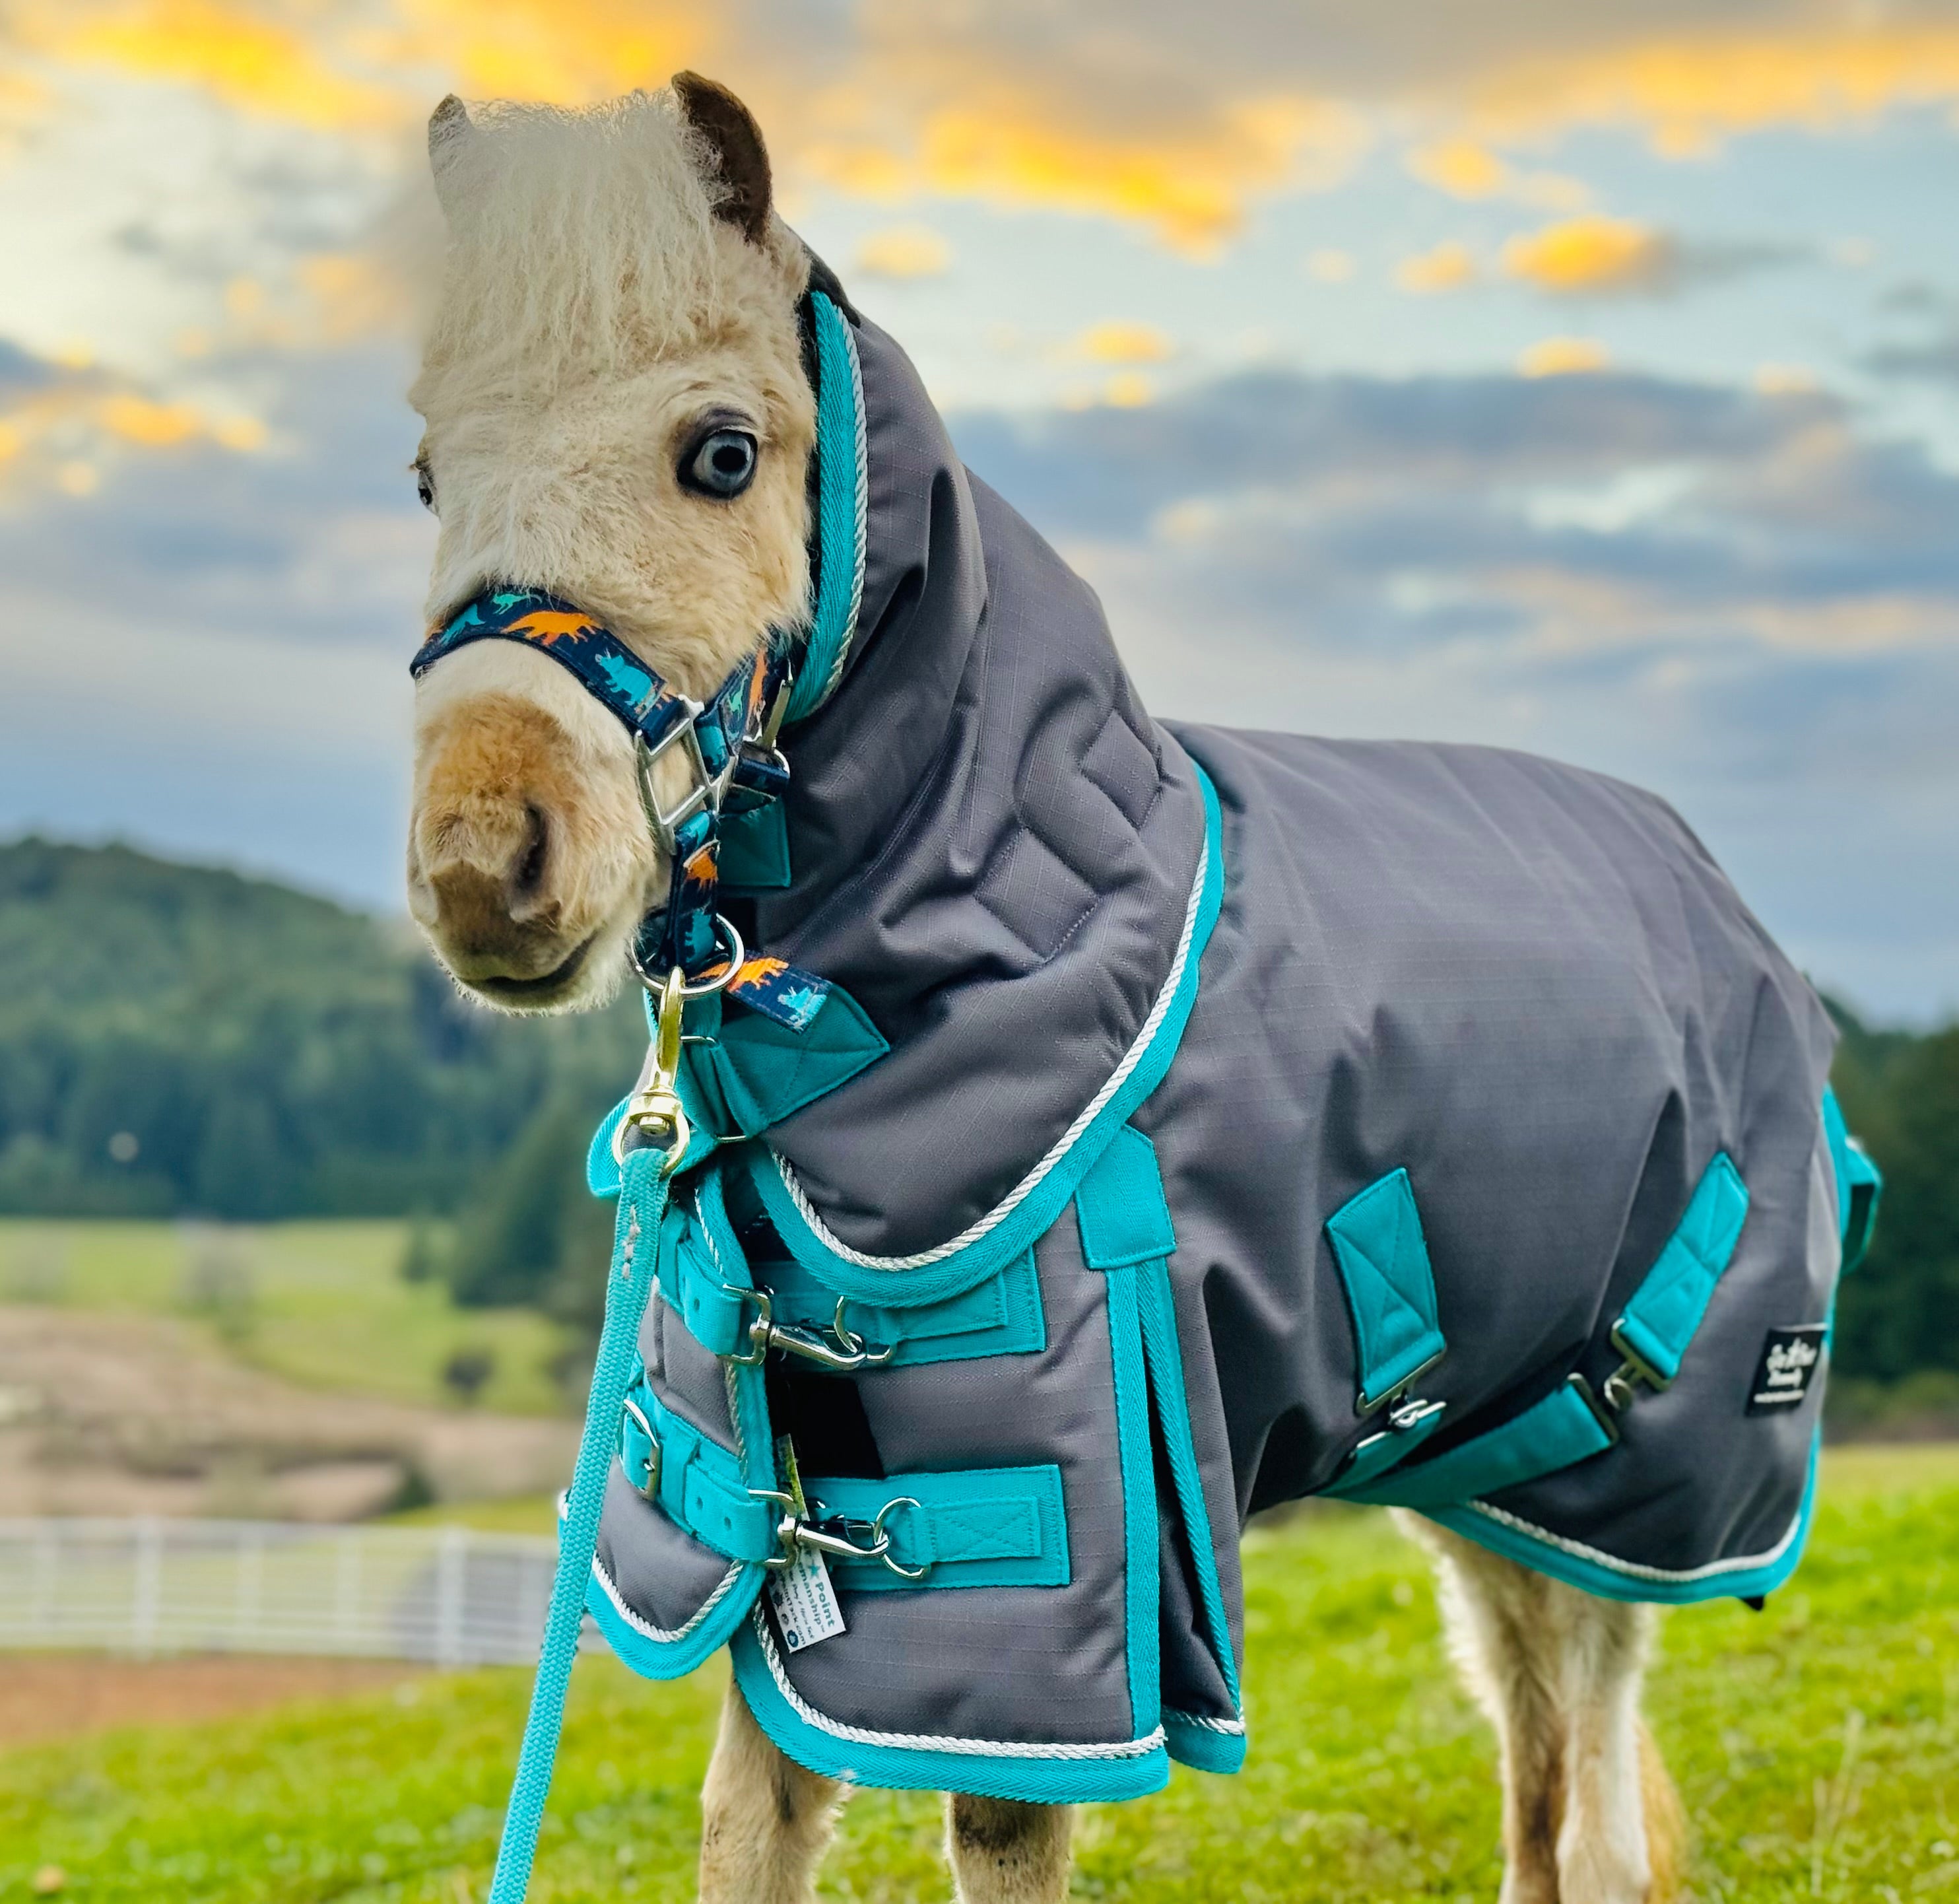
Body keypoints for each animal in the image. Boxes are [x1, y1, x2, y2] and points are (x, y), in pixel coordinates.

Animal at [405, 78, 1866, 1904]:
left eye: (721, 452)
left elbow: (997, 1824)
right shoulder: (771, 1523)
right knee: (1531, 1733)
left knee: (1590, 1773)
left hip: (1645, 1475)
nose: (485, 860)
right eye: (426, 472)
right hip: (1487, 1457)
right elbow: (751, 1821)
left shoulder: (1043, 1576)